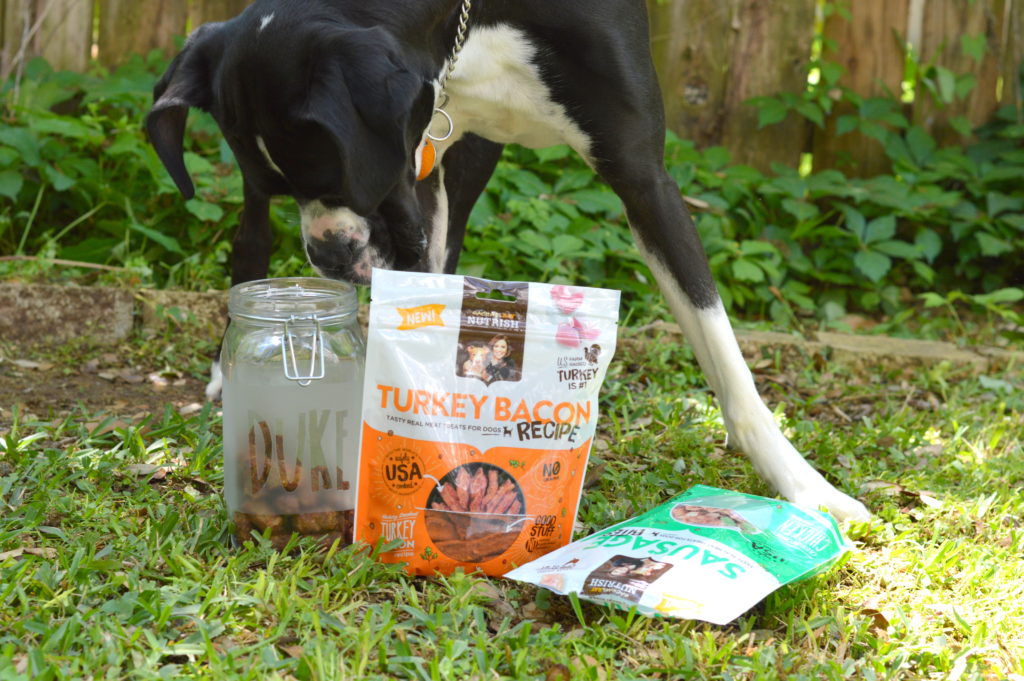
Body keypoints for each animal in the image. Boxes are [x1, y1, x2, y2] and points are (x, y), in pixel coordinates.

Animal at [148, 0, 868, 520]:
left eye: (343, 179)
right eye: (292, 187)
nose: (328, 253)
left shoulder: (642, 178)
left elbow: (721, 347)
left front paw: (806, 487)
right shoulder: (423, 154)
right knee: (250, 245)